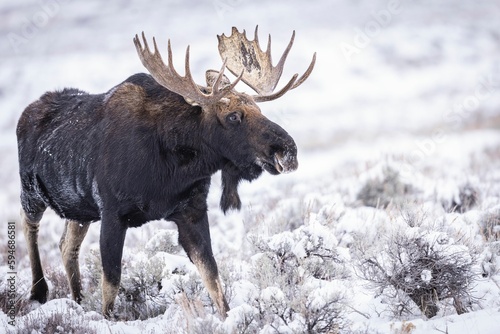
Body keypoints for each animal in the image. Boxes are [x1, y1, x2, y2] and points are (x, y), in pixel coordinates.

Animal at [17, 26, 316, 318]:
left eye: (259, 109)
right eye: (233, 116)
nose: (288, 150)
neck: (171, 173)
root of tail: (26, 112)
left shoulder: (192, 211)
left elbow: (213, 277)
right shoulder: (112, 213)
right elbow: (111, 284)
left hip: (80, 209)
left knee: (66, 245)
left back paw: (78, 301)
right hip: (31, 192)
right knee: (29, 225)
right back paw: (39, 291)